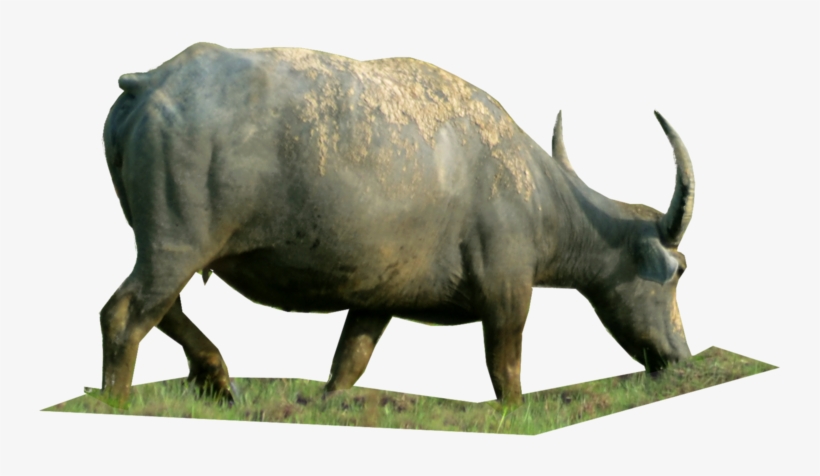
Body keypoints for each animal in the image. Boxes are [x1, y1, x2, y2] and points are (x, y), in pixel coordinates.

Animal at [100, 42, 694, 408]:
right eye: (678, 271)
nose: (682, 359)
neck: (530, 190)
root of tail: (149, 82)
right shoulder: (508, 297)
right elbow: (507, 376)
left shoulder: (376, 300)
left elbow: (347, 365)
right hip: (175, 247)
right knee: (125, 315)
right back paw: (119, 402)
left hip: (166, 249)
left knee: (165, 311)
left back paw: (218, 378)